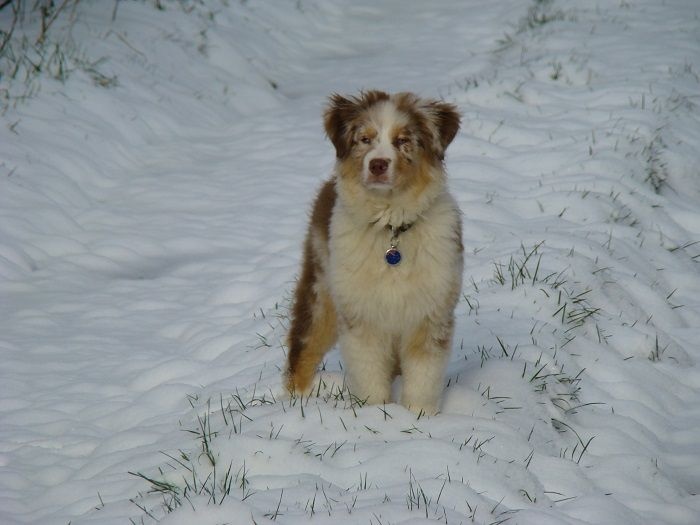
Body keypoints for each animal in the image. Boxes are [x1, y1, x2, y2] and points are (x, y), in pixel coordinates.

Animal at [284, 91, 464, 418]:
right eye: (365, 139)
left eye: (403, 140)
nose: (378, 164)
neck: (390, 228)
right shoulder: (361, 317)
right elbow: (369, 374)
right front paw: (376, 415)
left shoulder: (431, 314)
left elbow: (424, 376)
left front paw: (419, 417)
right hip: (322, 288)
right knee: (303, 344)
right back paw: (293, 401)